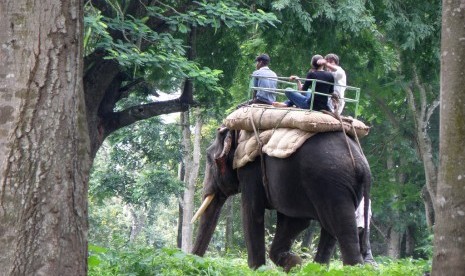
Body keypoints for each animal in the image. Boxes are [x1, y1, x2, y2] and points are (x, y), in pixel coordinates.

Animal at [191, 127, 370, 272]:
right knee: (332, 231)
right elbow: (294, 222)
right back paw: (318, 268)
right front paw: (295, 264)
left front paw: (259, 270)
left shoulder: (251, 169)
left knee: (342, 230)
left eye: (209, 158)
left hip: (331, 185)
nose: (195, 263)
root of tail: (363, 164)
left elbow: (252, 213)